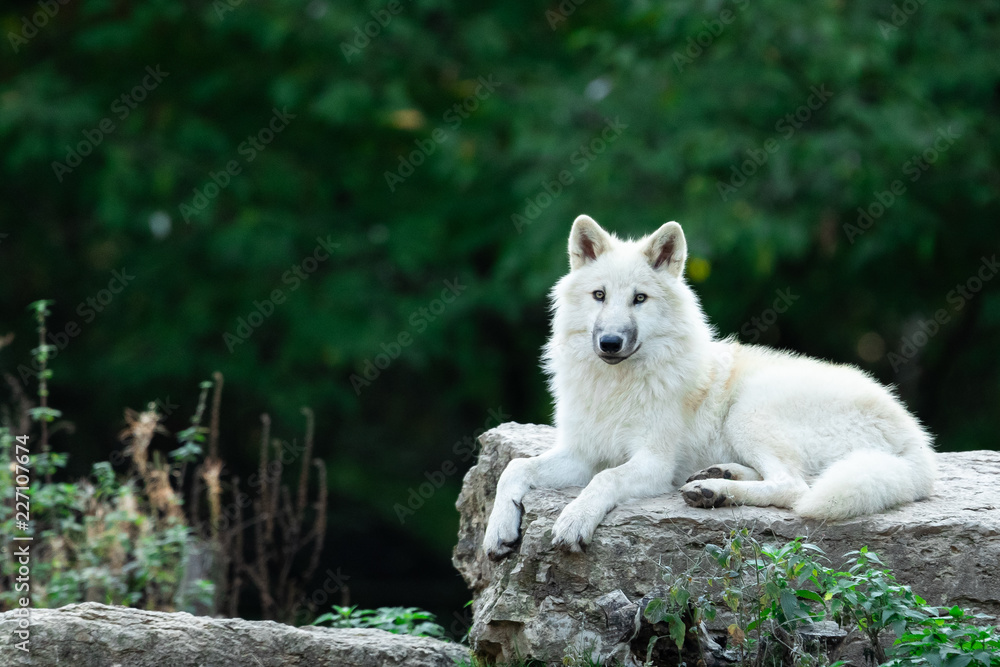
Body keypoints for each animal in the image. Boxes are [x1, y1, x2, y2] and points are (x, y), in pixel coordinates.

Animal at [483, 215, 935, 559]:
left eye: (639, 299)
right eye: (599, 295)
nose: (609, 342)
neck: (616, 386)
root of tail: (917, 443)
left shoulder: (653, 463)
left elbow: (605, 479)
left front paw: (575, 520)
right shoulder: (581, 453)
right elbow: (514, 468)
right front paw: (498, 529)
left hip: (749, 412)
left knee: (795, 487)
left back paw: (713, 489)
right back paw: (718, 477)